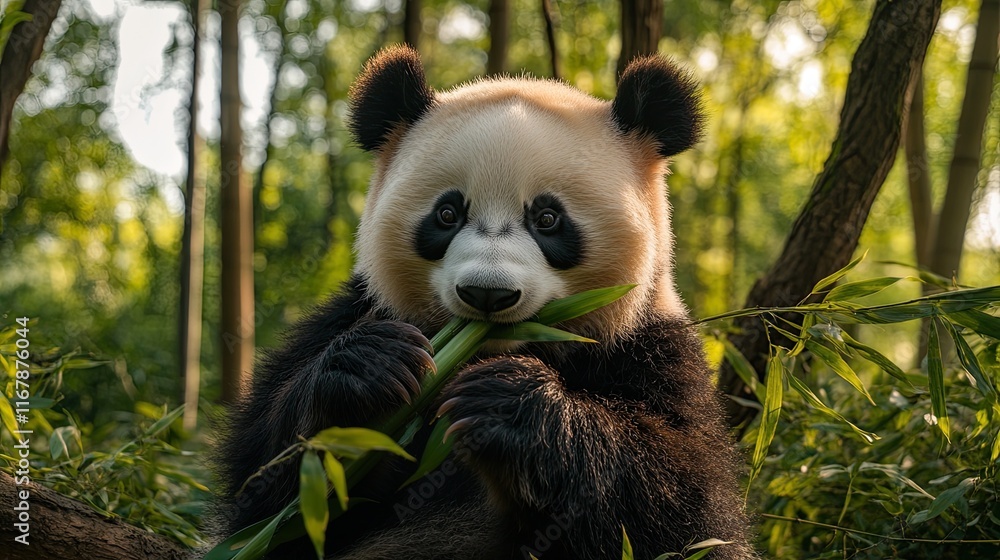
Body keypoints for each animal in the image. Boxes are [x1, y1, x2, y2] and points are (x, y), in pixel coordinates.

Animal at [213, 45, 756, 560]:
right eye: (447, 213)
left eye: (548, 219)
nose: (488, 294)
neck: (490, 349)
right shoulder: (358, 312)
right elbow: (265, 493)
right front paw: (372, 368)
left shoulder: (650, 348)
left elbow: (685, 508)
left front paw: (510, 403)